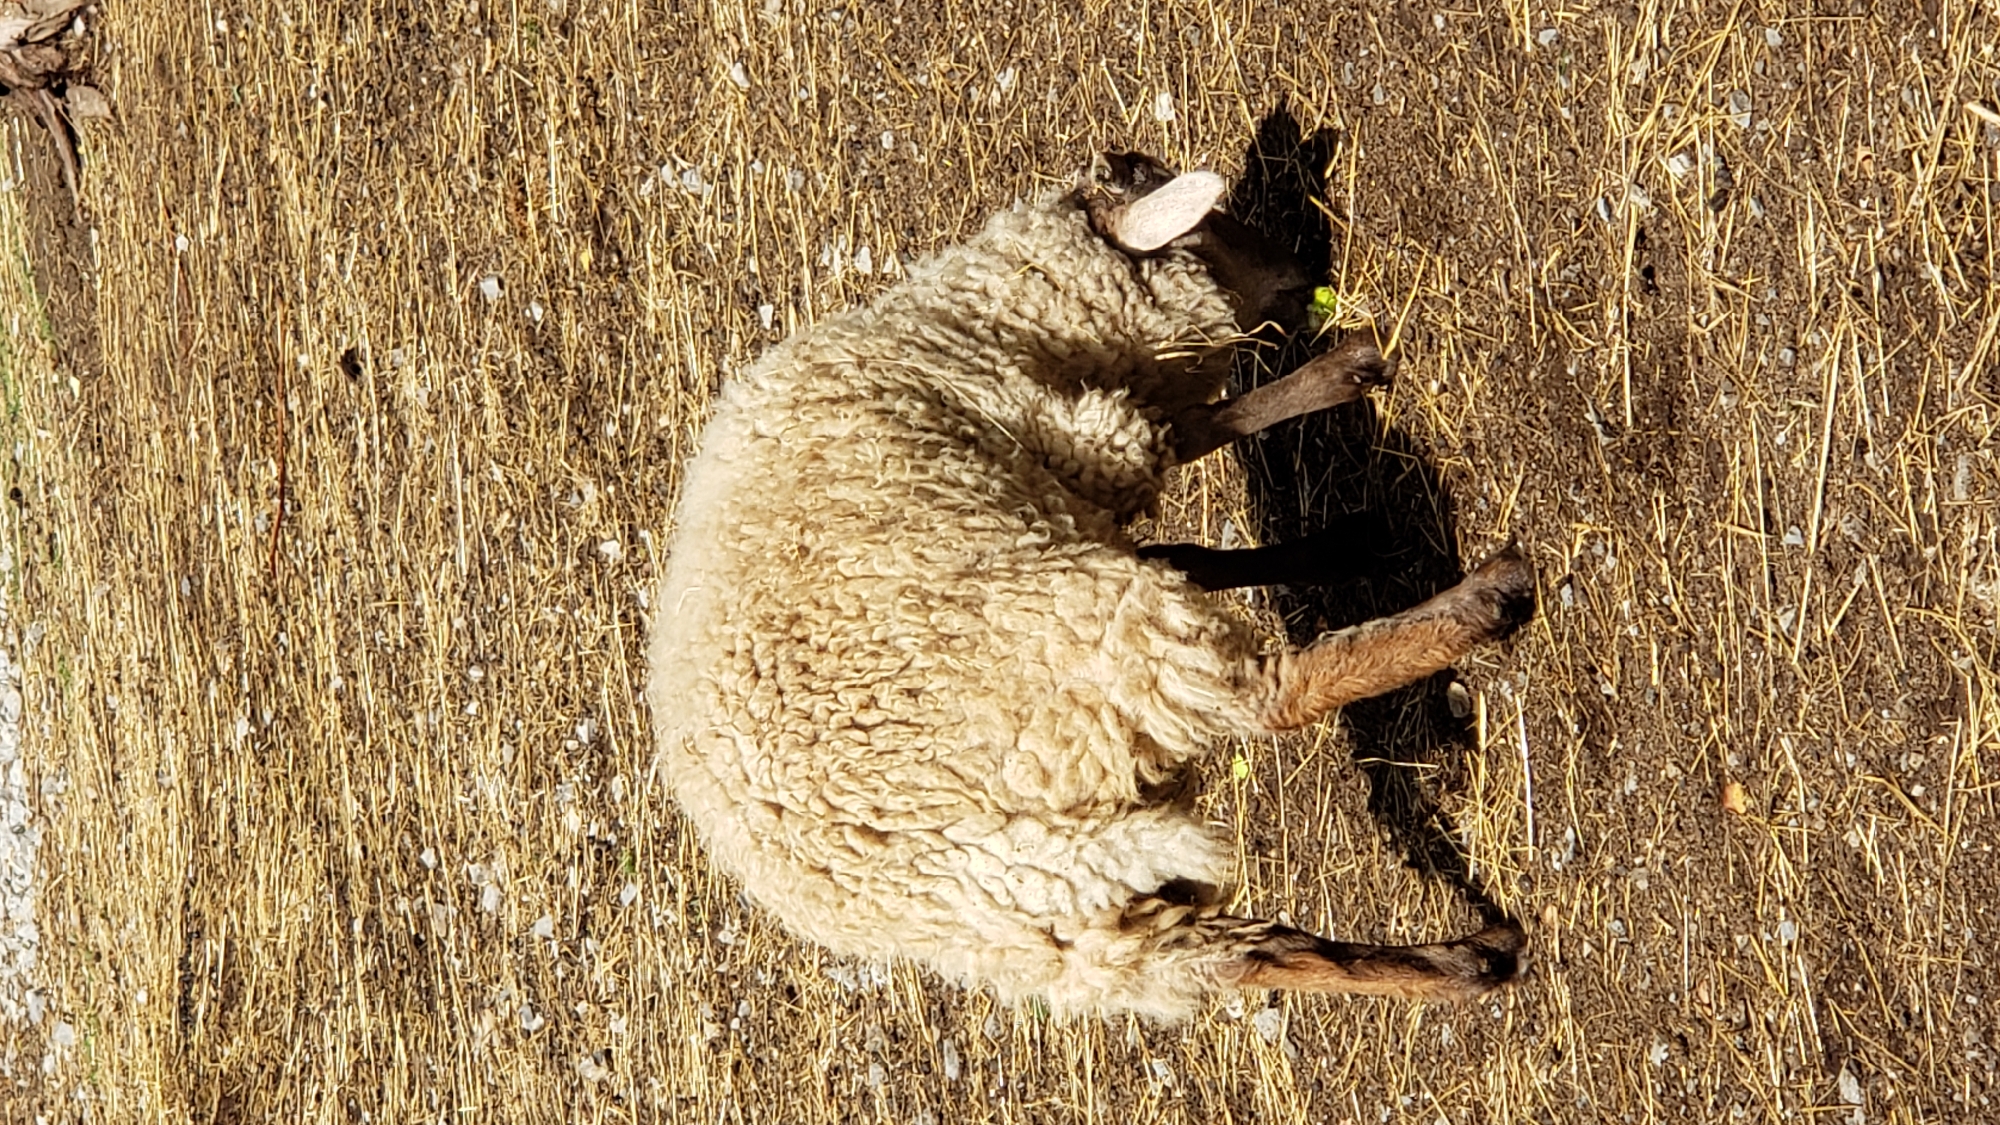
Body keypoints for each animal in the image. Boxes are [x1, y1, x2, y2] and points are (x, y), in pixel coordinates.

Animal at [646, 152, 1534, 1021]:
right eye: (1209, 225)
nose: (1298, 266)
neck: (977, 331)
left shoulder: (1067, 488)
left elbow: (1190, 529)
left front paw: (1343, 535)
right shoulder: (1075, 457)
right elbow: (1198, 438)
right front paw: (1346, 376)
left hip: (1082, 921)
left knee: (1258, 953)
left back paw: (1471, 961)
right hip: (1088, 648)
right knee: (1275, 693)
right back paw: (1492, 597)